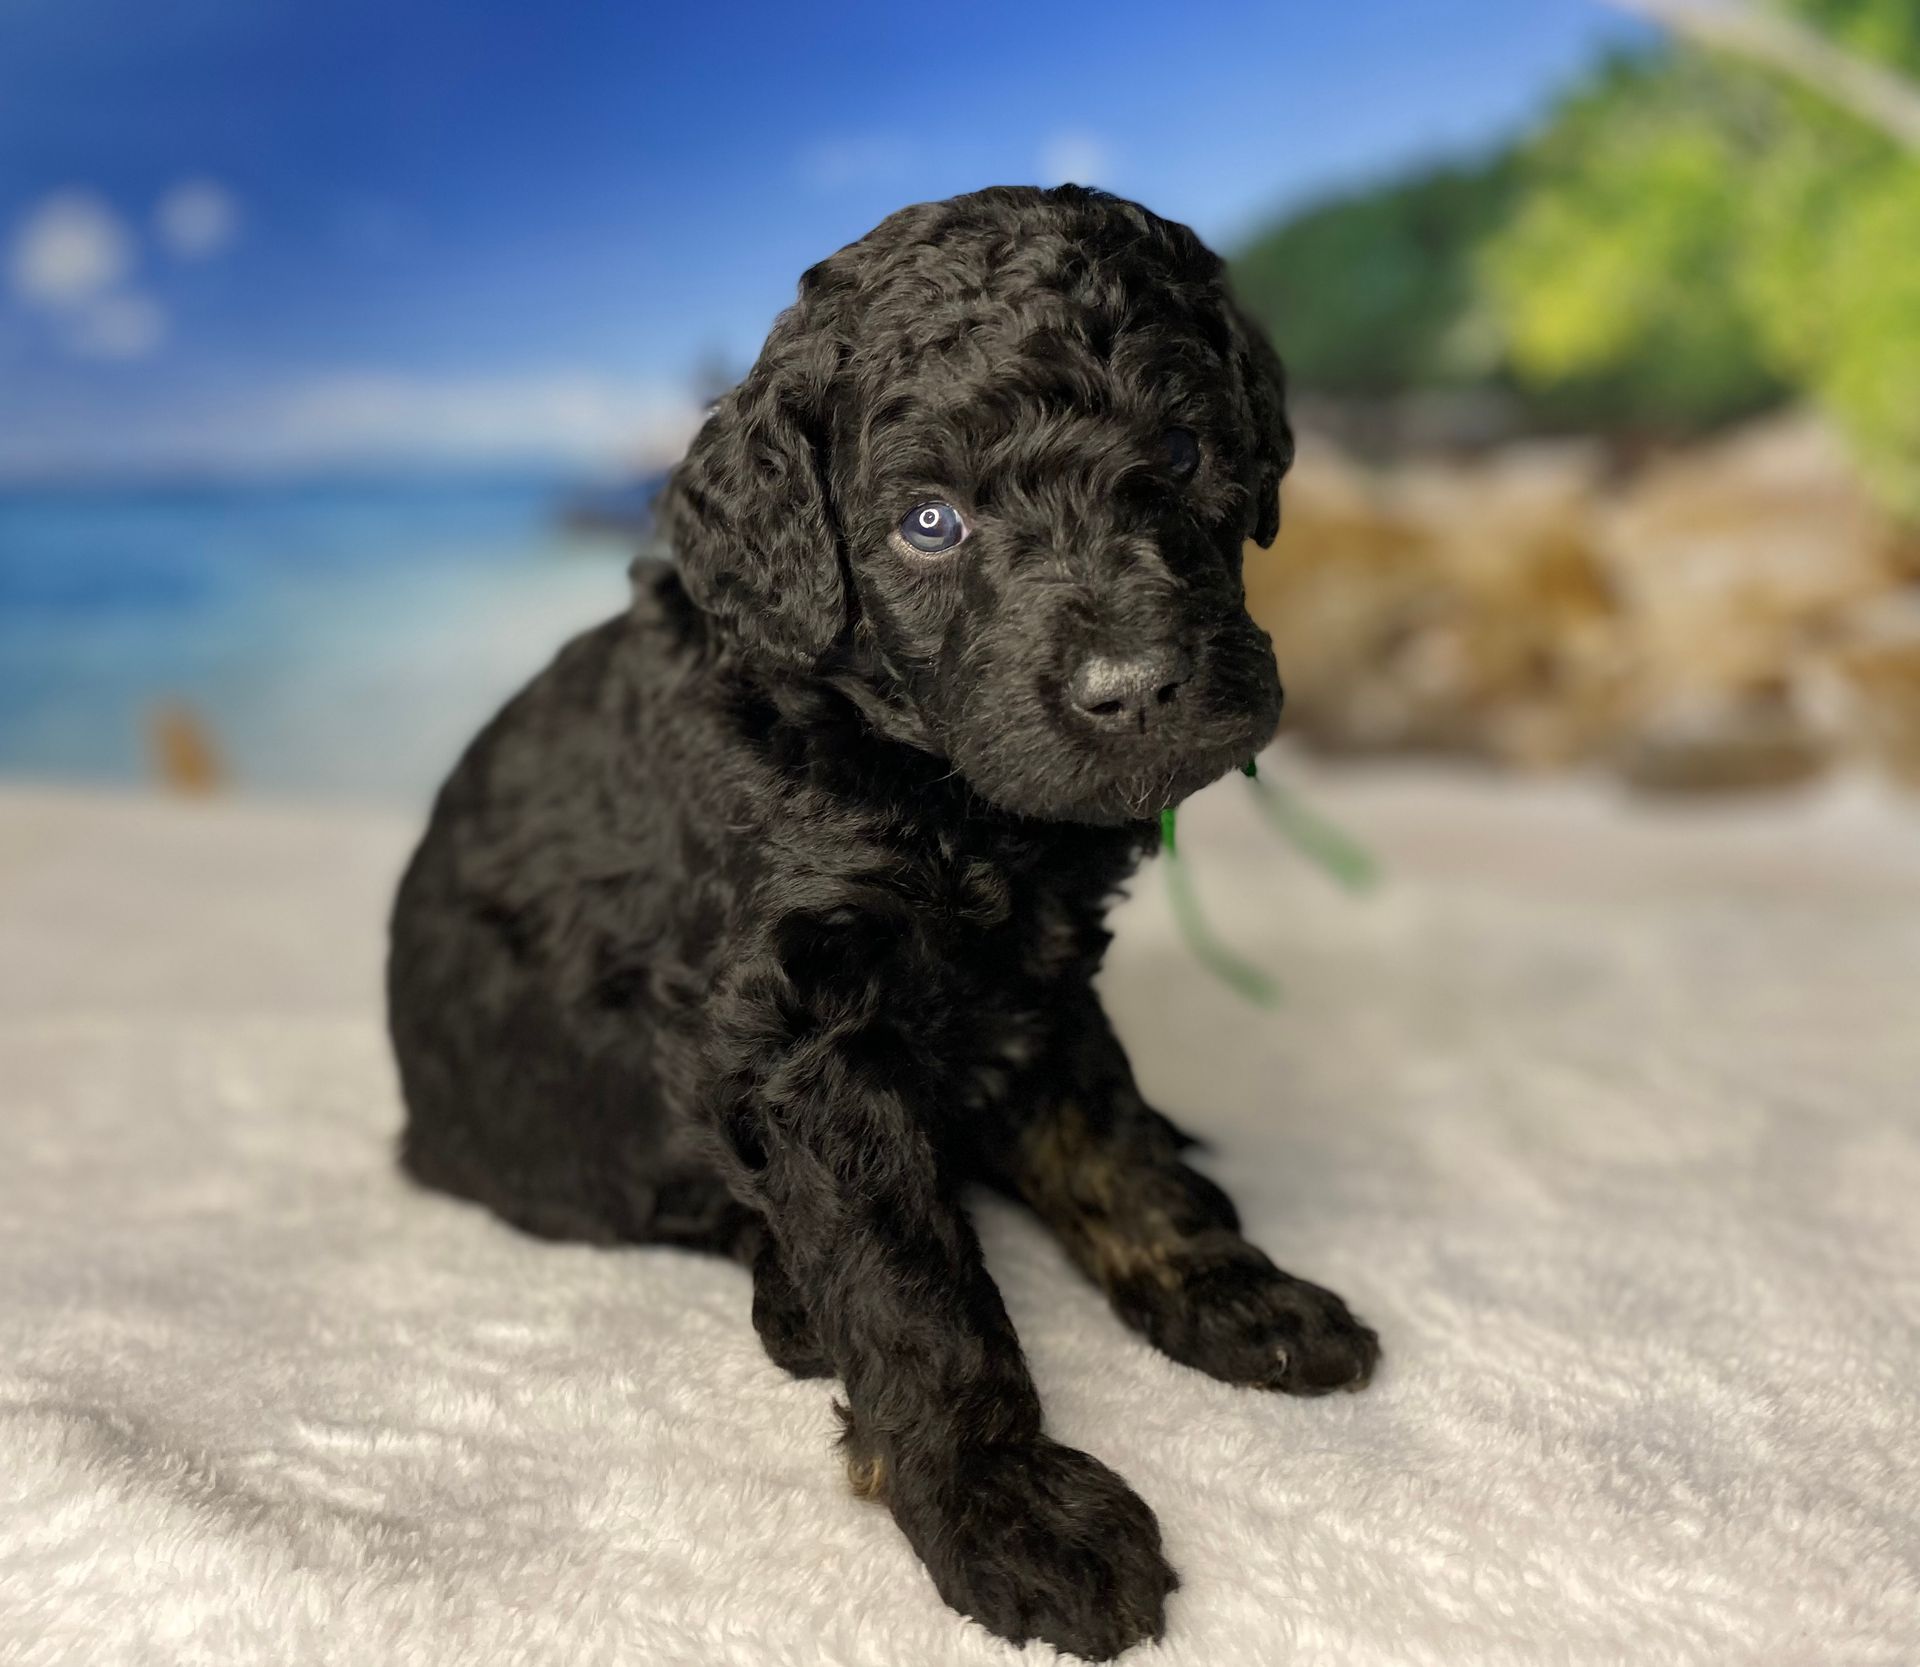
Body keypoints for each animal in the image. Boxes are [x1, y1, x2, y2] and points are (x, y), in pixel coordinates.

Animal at [393, 189, 1382, 1659]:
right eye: (928, 520)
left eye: (1187, 448)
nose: (1137, 685)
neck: (925, 781)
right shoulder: (806, 1034)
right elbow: (912, 1282)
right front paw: (1003, 1506)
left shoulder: (1037, 984)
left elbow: (1116, 1143)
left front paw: (1228, 1289)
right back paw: (793, 1302)